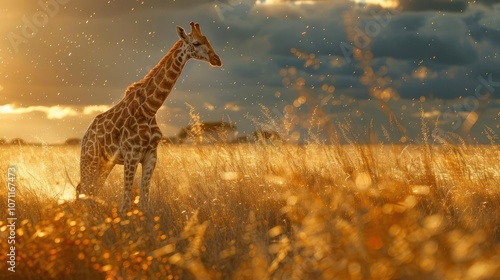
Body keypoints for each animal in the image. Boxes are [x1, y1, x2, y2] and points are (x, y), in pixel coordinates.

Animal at [75, 22, 221, 214]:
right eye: (196, 43)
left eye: (207, 40)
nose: (217, 60)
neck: (150, 108)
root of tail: (85, 136)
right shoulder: (131, 155)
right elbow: (126, 203)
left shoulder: (151, 155)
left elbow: (145, 202)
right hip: (90, 159)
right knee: (83, 188)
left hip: (105, 163)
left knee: (91, 189)